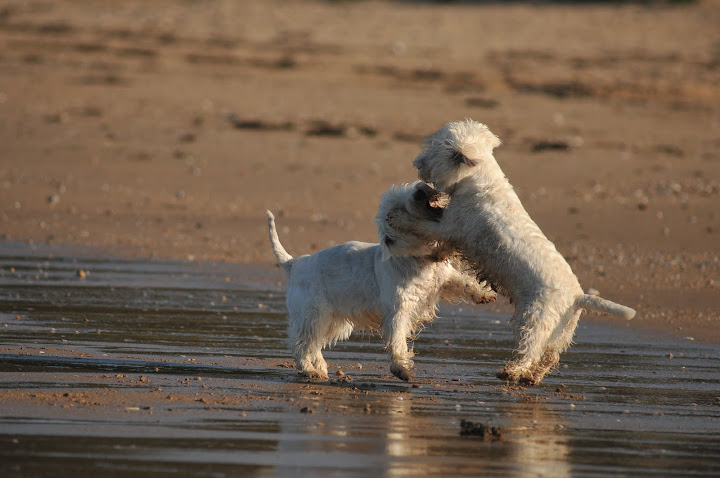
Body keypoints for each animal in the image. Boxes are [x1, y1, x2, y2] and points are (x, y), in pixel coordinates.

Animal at [264, 182, 496, 380]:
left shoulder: (445, 280)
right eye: (394, 212)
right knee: (301, 344)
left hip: (332, 322)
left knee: (314, 345)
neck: (418, 260)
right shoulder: (398, 312)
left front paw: (485, 294)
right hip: (313, 316)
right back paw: (309, 370)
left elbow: (466, 282)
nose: (420, 188)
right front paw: (402, 370)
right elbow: (397, 342)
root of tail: (295, 263)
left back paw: (320, 368)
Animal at [388, 119, 636, 384]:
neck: (479, 181)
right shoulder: (454, 235)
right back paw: (531, 378)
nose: (418, 163)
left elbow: (421, 225)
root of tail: (577, 297)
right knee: (550, 357)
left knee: (530, 350)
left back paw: (511, 372)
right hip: (561, 331)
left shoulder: (449, 226)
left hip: (535, 319)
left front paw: (397, 218)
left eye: (436, 150)